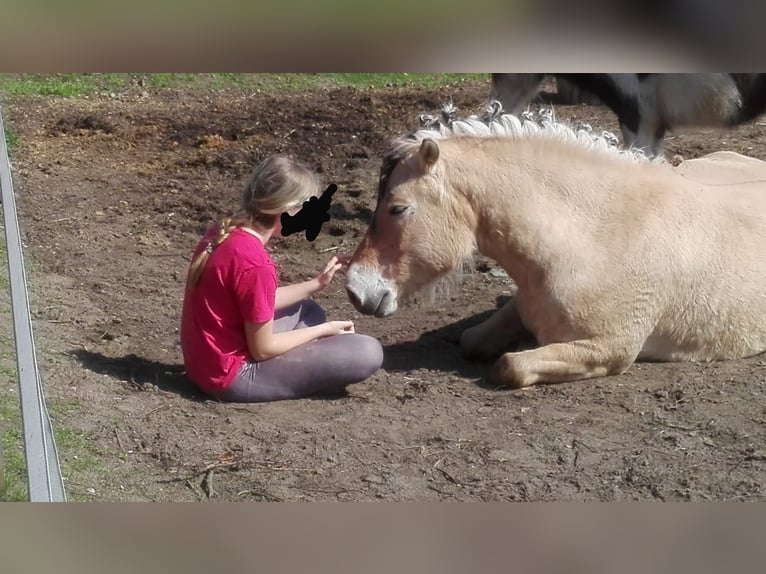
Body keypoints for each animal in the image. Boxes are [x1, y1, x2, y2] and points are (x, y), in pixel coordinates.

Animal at [345, 106, 766, 388]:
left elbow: (510, 365)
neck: (593, 240)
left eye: (398, 208)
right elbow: (471, 340)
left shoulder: (610, 349)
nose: (355, 289)